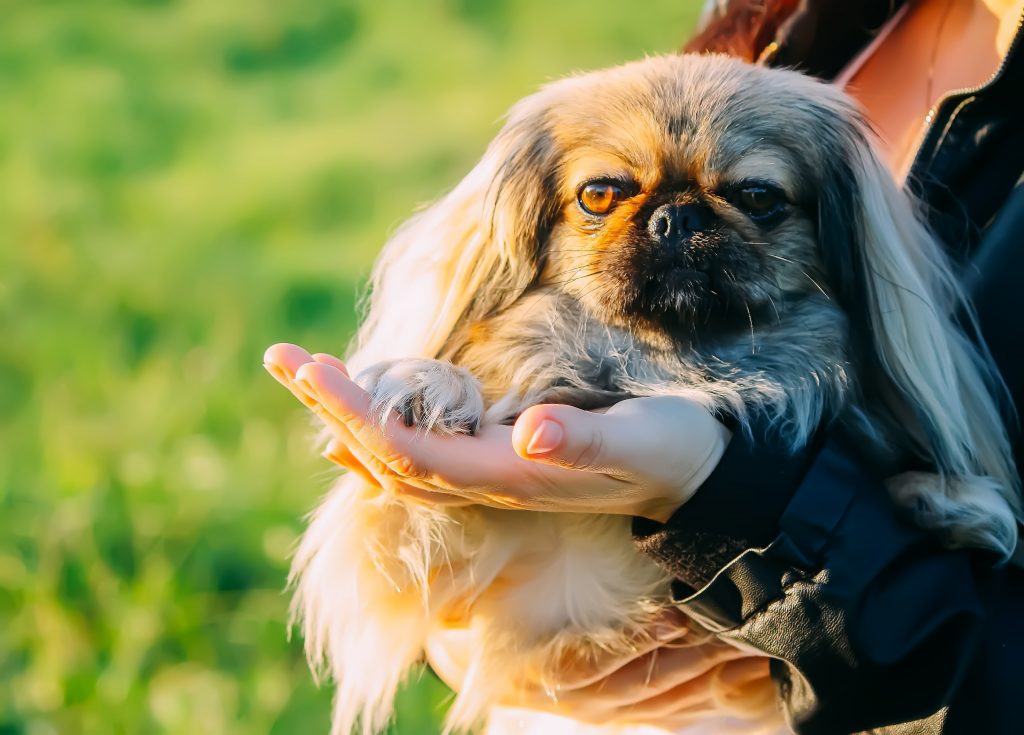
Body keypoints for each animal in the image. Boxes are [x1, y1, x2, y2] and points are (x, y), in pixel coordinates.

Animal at [286, 53, 1015, 735]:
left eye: (757, 196)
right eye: (601, 194)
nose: (677, 215)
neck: (669, 364)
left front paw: (949, 499)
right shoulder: (415, 560)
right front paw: (431, 382)